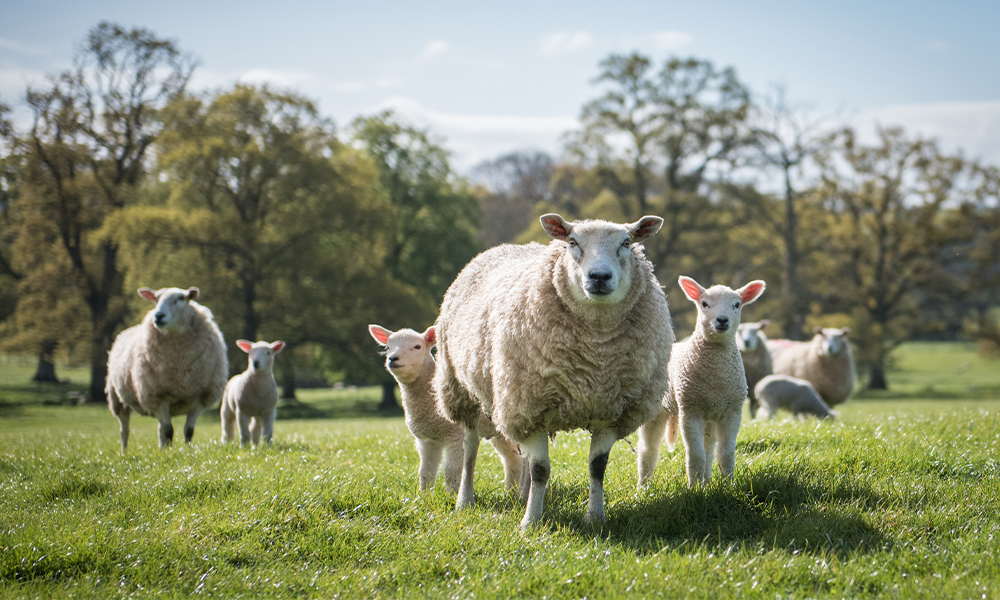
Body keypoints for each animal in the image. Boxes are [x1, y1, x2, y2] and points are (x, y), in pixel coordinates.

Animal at [107, 288, 229, 450]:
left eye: (181, 298)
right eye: (155, 299)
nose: (158, 316)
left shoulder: (197, 397)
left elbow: (188, 431)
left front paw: (187, 450)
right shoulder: (158, 397)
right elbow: (169, 430)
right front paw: (170, 451)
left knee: (159, 430)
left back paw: (161, 448)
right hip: (117, 399)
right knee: (124, 430)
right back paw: (124, 451)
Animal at [370, 326, 524, 494]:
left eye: (417, 346)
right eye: (388, 347)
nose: (393, 359)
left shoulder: (456, 435)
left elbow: (451, 470)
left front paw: (451, 494)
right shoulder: (427, 439)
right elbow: (425, 471)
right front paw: (424, 495)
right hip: (498, 432)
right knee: (513, 459)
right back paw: (511, 492)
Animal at [436, 213, 676, 528]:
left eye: (626, 242)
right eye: (572, 242)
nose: (599, 277)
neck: (596, 357)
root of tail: (502, 247)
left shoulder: (610, 410)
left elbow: (597, 467)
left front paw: (595, 518)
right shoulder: (528, 406)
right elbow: (540, 469)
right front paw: (530, 523)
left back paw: (522, 495)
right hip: (463, 391)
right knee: (470, 449)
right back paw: (465, 501)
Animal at [636, 276, 768, 488]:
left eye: (737, 304)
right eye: (704, 304)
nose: (722, 320)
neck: (715, 375)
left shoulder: (732, 411)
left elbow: (725, 454)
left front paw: (728, 486)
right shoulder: (690, 410)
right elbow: (695, 454)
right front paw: (694, 489)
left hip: (710, 414)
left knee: (709, 447)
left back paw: (706, 482)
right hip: (656, 411)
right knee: (648, 450)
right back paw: (643, 487)